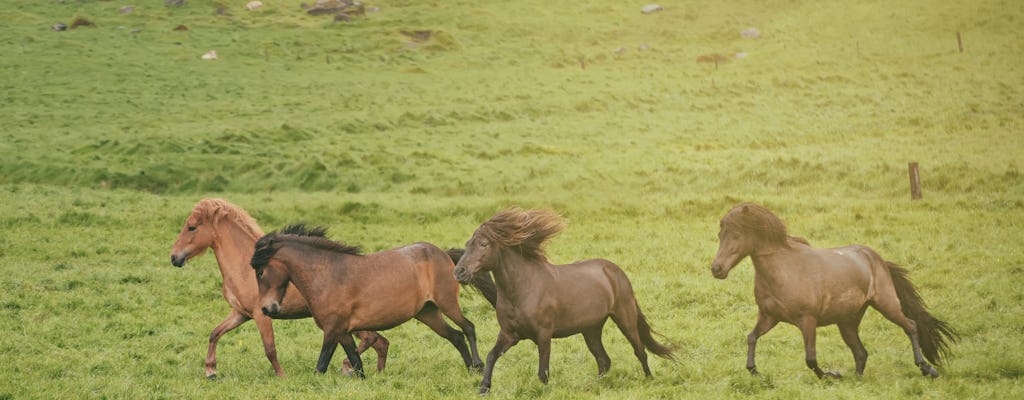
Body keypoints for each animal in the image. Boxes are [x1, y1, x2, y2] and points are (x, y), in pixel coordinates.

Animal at [167, 200, 391, 378]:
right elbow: (214, 333)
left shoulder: (261, 314)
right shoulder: (241, 313)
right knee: (381, 342)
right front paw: (210, 371)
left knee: (372, 339)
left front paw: (282, 376)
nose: (174, 257)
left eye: (191, 227)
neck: (245, 265)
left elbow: (270, 349)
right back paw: (376, 373)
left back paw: (348, 368)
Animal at [249, 225, 485, 378]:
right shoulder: (343, 332)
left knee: (468, 328)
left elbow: (320, 367)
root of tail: (442, 253)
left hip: (447, 303)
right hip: (428, 313)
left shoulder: (332, 330)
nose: (266, 308)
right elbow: (357, 364)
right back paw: (470, 370)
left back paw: (479, 367)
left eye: (260, 272)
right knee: (456, 336)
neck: (328, 275)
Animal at [454, 208, 675, 396]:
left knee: (639, 350)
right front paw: (483, 389)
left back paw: (649, 380)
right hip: (591, 329)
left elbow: (543, 371)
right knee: (604, 360)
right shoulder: (509, 334)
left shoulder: (543, 335)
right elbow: (491, 356)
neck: (522, 290)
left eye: (483, 244)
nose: (459, 272)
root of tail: (615, 271)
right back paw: (593, 386)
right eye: (467, 244)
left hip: (624, 317)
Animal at [708, 203, 954, 378]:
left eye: (736, 235)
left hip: (887, 305)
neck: (783, 270)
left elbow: (810, 359)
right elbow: (751, 338)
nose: (716, 269)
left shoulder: (807, 320)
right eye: (720, 236)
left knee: (910, 326)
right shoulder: (769, 317)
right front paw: (754, 371)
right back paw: (857, 379)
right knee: (861, 353)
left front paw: (831, 375)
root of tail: (877, 259)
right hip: (847, 322)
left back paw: (927, 368)